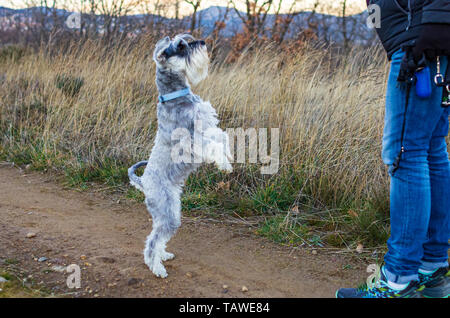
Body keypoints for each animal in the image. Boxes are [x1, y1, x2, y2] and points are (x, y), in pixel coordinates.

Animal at [126, 34, 232, 278]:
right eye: (181, 46)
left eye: (187, 39)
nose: (202, 43)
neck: (175, 95)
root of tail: (143, 181)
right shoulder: (195, 141)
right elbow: (213, 144)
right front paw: (223, 164)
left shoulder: (208, 124)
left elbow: (221, 137)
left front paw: (228, 159)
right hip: (167, 213)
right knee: (152, 241)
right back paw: (157, 268)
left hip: (172, 209)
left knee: (159, 237)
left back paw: (163, 256)